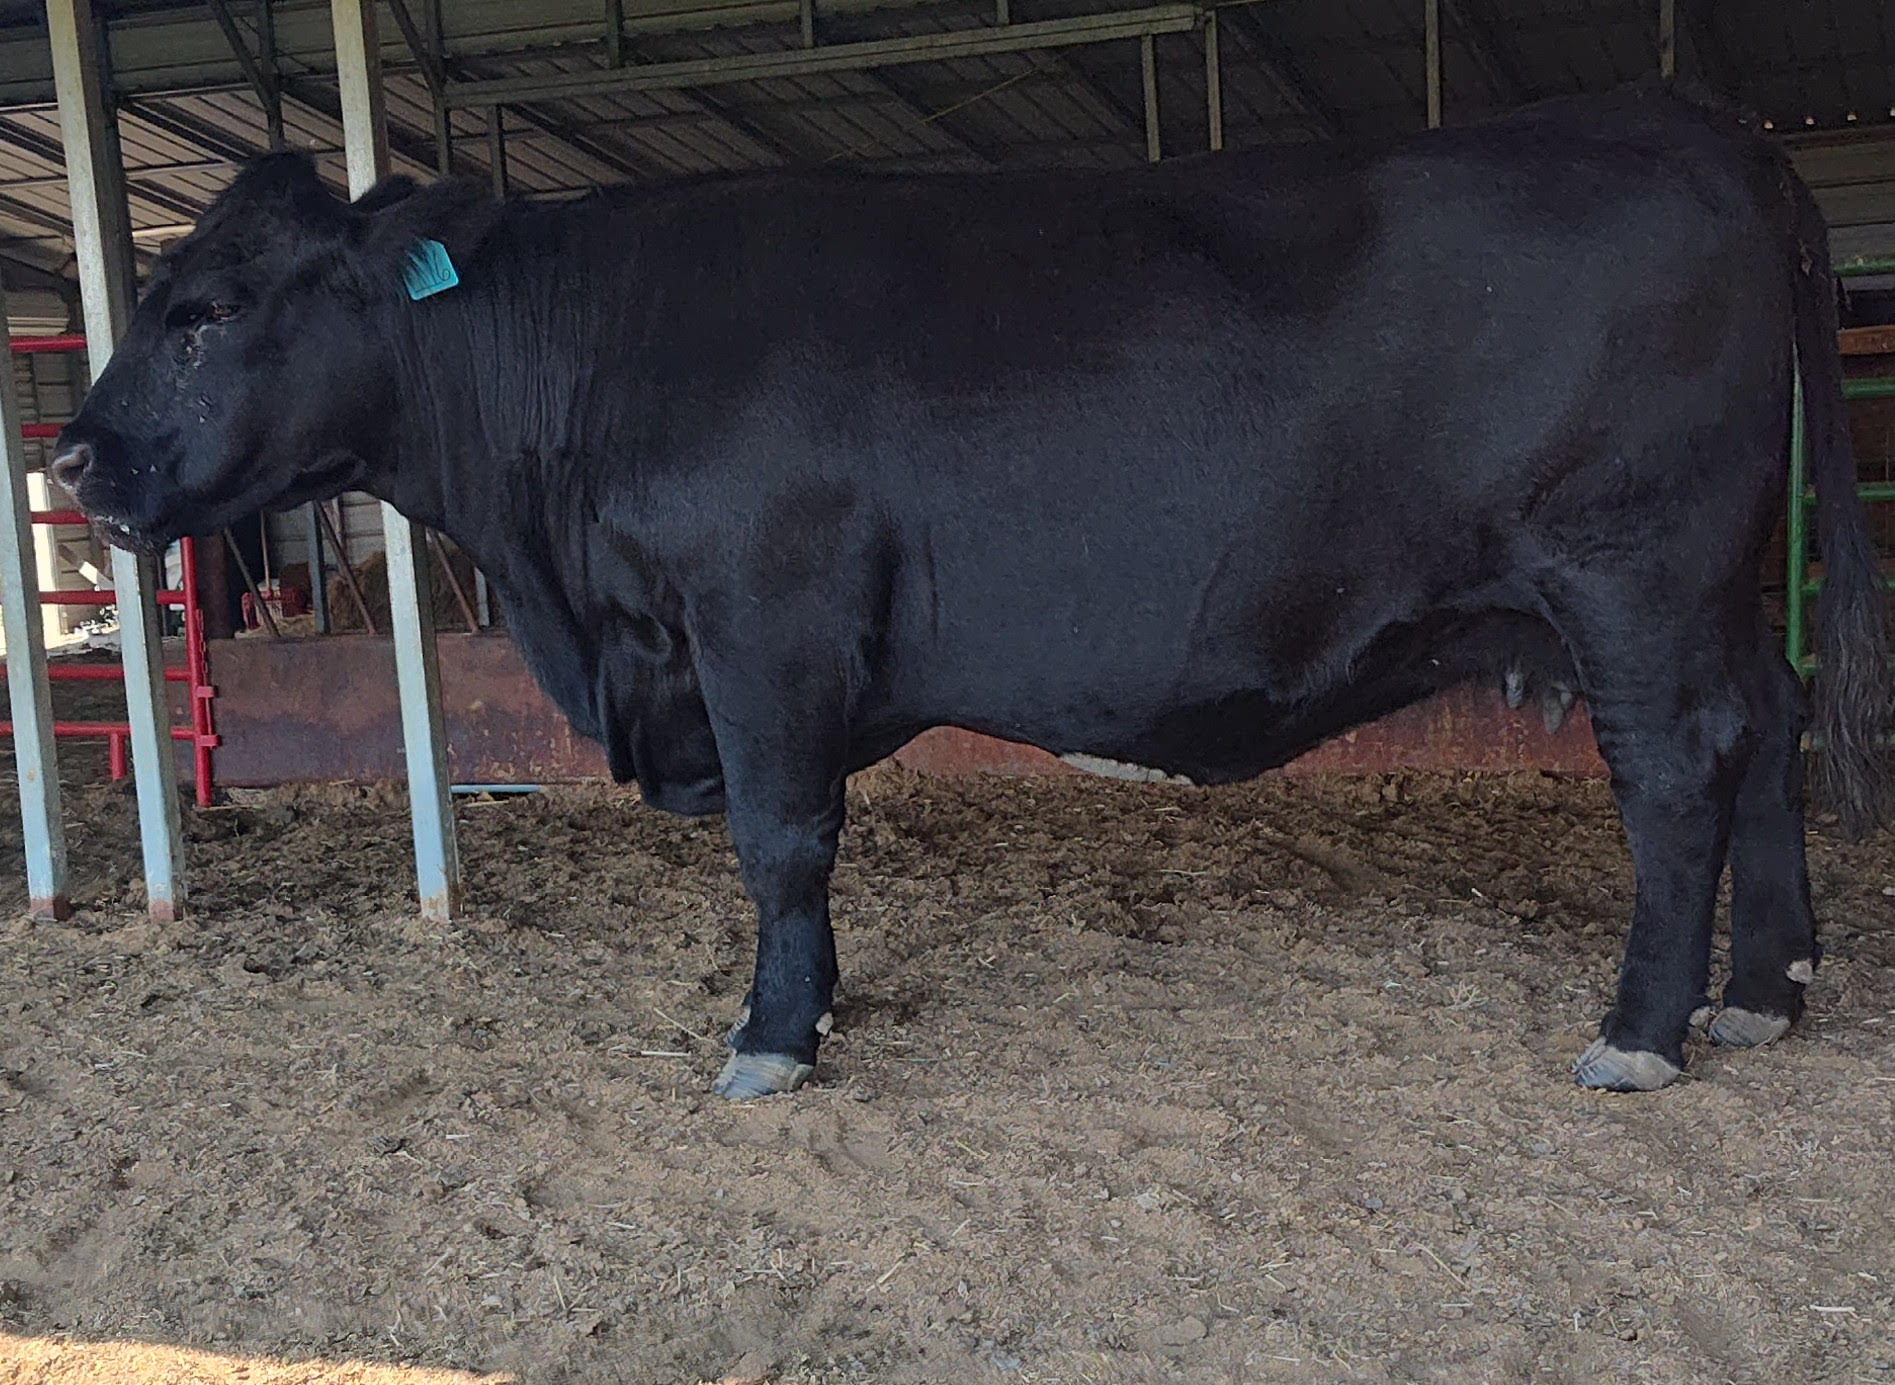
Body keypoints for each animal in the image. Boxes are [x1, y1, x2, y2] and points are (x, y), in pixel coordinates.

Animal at [52, 77, 1891, 1101]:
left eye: (207, 309)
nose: (70, 457)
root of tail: (1683, 121)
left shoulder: (761, 620)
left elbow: (781, 840)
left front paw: (774, 1036)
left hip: (1630, 568)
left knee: (1677, 769)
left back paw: (1643, 1028)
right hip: (1720, 580)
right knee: (1768, 724)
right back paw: (1764, 991)